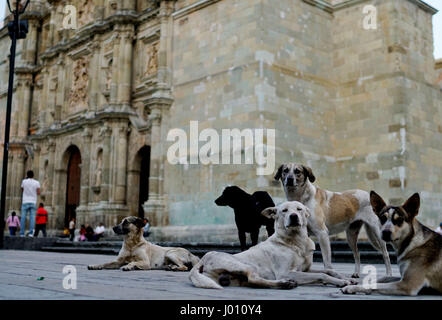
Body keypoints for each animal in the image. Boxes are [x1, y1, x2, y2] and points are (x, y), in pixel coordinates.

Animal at [189, 202, 356, 290]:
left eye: (299, 209)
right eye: (284, 210)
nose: (293, 216)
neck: (296, 242)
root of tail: (202, 259)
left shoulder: (305, 269)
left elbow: (328, 270)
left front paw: (346, 278)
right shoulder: (286, 272)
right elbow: (321, 275)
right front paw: (341, 282)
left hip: (234, 278)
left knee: (252, 281)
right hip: (244, 265)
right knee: (254, 278)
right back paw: (284, 283)